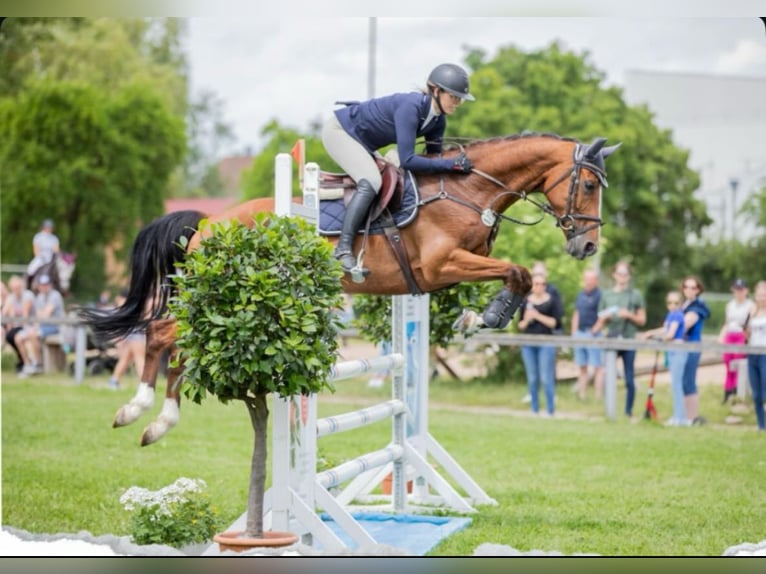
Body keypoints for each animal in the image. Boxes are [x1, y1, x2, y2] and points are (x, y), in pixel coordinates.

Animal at [78, 132, 620, 446]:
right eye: (591, 186)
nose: (589, 246)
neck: (468, 189)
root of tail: (211, 221)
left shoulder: (449, 271)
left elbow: (517, 274)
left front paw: (480, 316)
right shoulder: (441, 264)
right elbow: (517, 272)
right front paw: (490, 315)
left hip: (218, 304)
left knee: (180, 346)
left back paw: (158, 423)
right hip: (217, 298)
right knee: (160, 334)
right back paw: (136, 409)